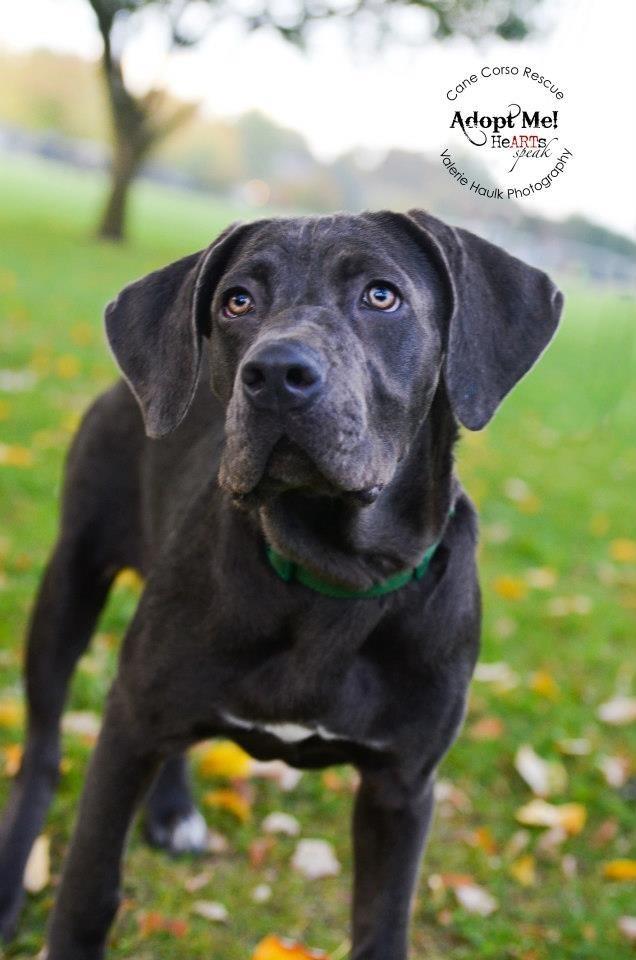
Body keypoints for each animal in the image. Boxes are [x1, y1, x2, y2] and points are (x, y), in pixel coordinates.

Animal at [0, 212, 560, 960]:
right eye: (237, 301)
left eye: (382, 296)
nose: (275, 375)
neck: (332, 574)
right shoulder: (128, 726)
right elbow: (89, 886)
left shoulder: (402, 785)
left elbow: (382, 926)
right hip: (73, 577)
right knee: (42, 750)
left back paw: (171, 809)